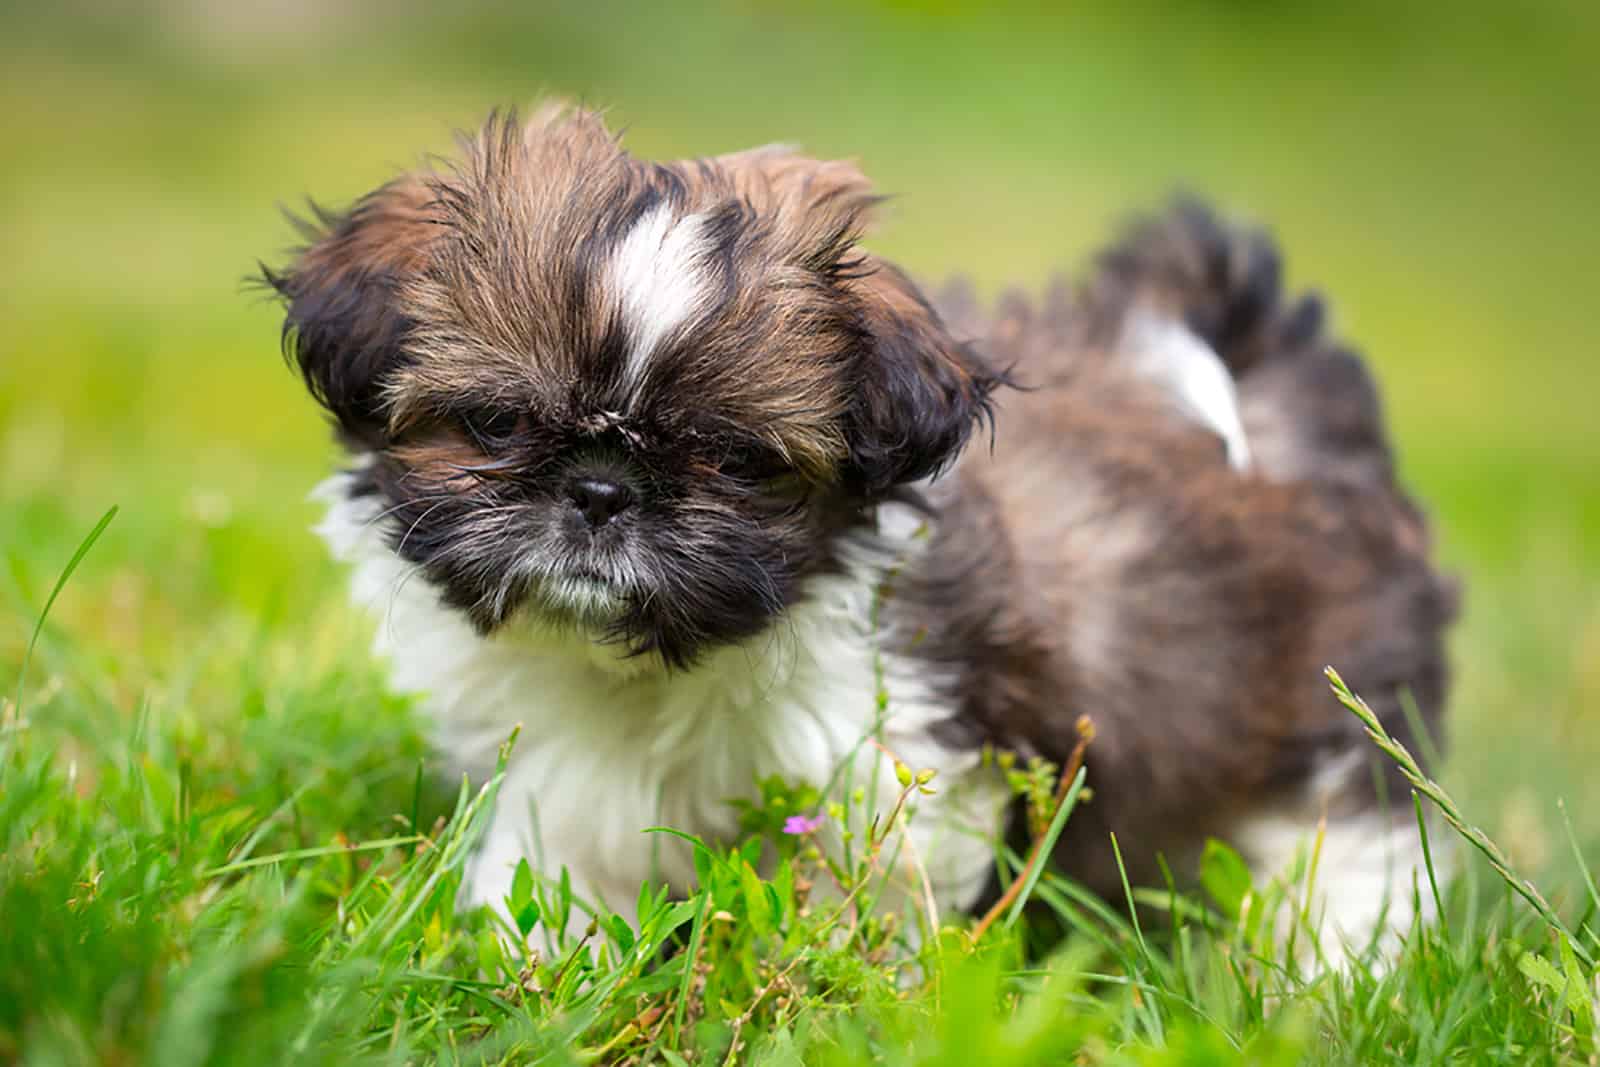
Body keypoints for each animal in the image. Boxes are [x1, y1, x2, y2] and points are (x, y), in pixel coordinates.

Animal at [265, 106, 1465, 959]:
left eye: (734, 458)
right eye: (499, 421)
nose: (603, 490)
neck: (648, 671)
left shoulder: (902, 752)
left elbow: (868, 896)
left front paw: (838, 988)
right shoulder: (566, 771)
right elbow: (555, 862)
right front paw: (535, 974)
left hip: (1327, 707)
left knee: (1346, 850)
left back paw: (1330, 980)